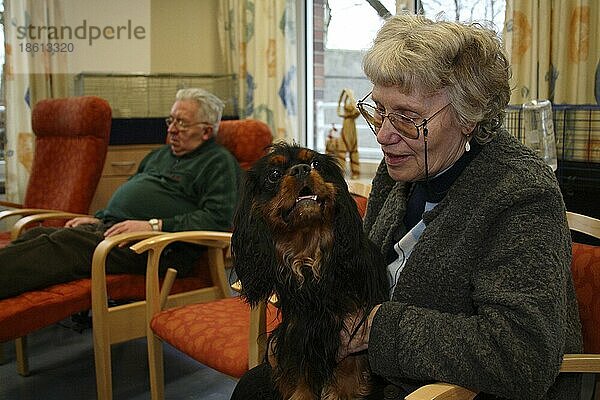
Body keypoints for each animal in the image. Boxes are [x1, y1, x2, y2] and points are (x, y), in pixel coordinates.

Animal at [230, 142, 390, 398]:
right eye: (274, 175)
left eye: (315, 163)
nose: (301, 169)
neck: (307, 253)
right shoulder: (299, 331)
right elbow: (301, 376)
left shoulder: (349, 333)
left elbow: (347, 377)